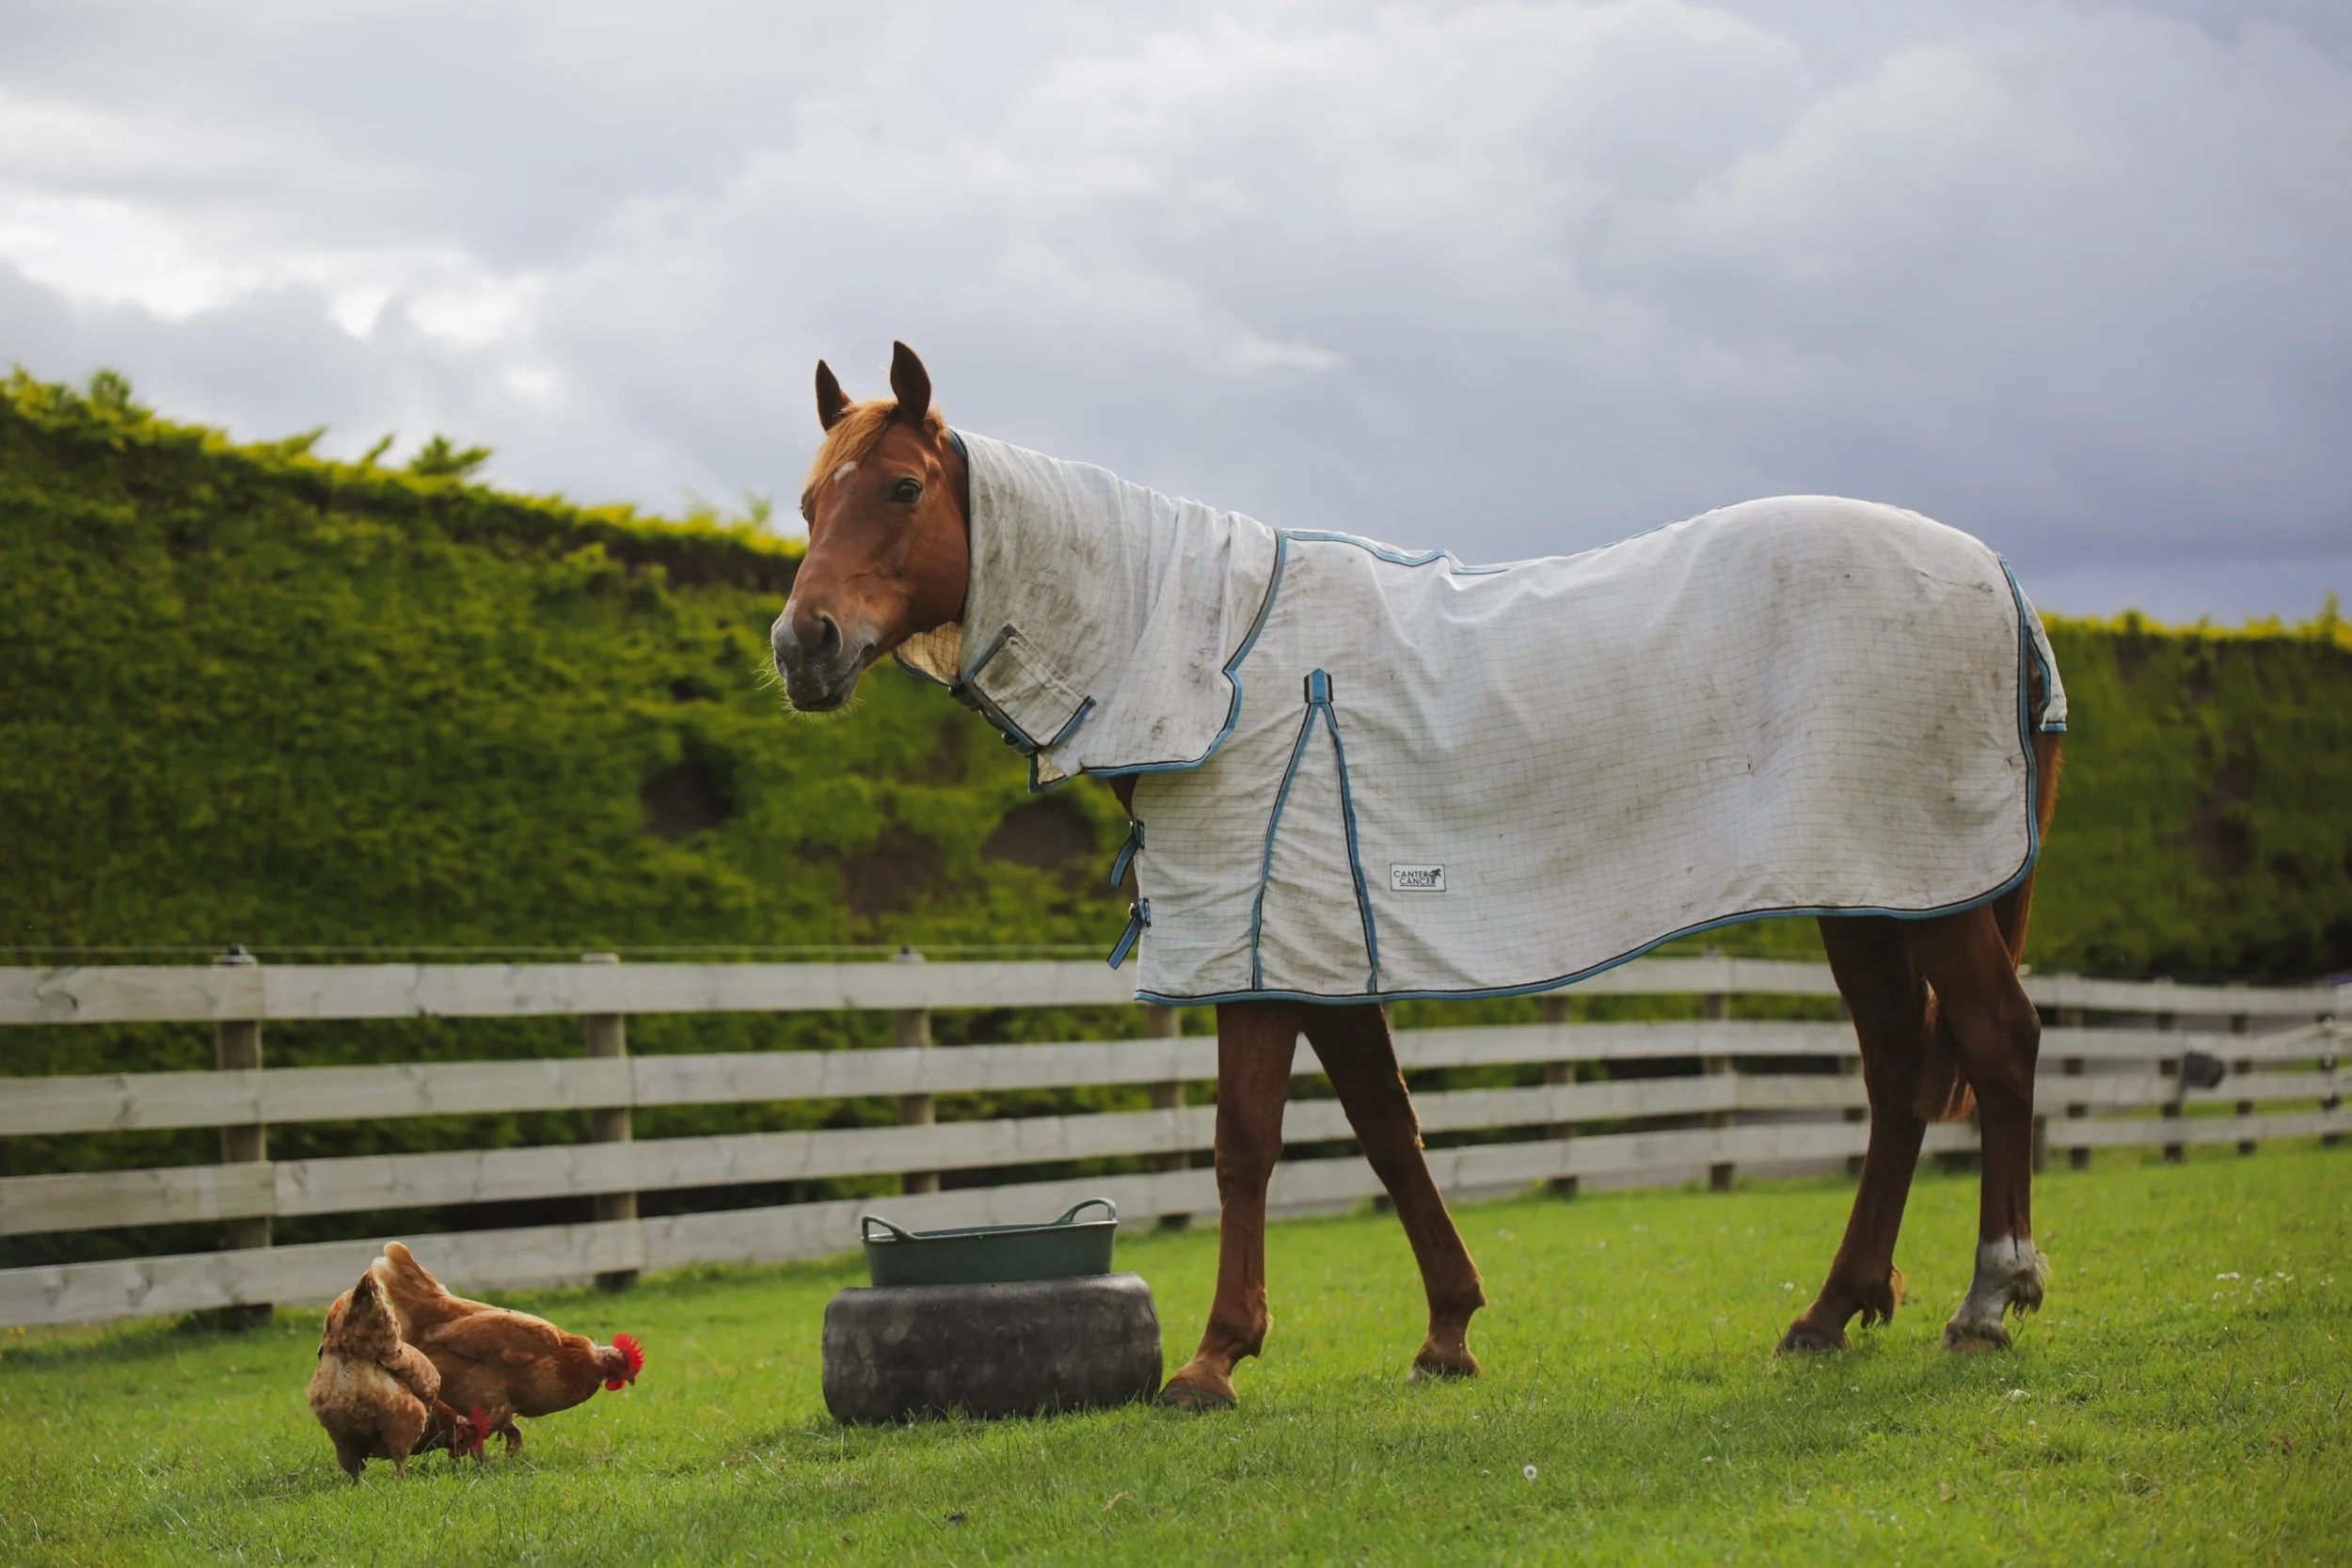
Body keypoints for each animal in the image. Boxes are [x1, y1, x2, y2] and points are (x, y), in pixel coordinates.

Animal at [773, 342, 2064, 1410]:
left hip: (1932, 899)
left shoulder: (1258, 951)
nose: (802, 644)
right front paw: (1447, 1331)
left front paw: (1212, 1359)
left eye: (901, 488)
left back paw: (1986, 1300)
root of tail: (1998, 575)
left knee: (1997, 1043)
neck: (1213, 656)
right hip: (1878, 895)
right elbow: (1390, 1128)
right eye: (807, 500)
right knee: (1896, 1078)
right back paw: (1831, 1309)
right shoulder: (1320, 949)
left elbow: (1245, 1143)